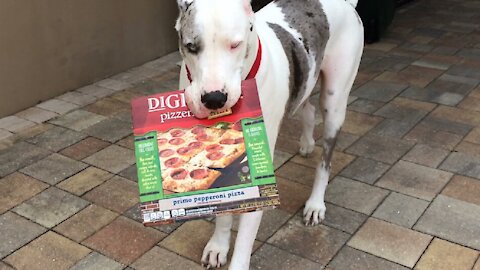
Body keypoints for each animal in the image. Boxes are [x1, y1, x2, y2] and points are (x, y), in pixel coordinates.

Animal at [176, 0, 364, 268]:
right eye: (191, 47)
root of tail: (347, 3)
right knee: (306, 106)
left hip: (335, 103)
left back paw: (315, 203)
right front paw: (218, 246)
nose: (214, 98)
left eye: (235, 45)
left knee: (325, 161)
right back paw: (307, 143)